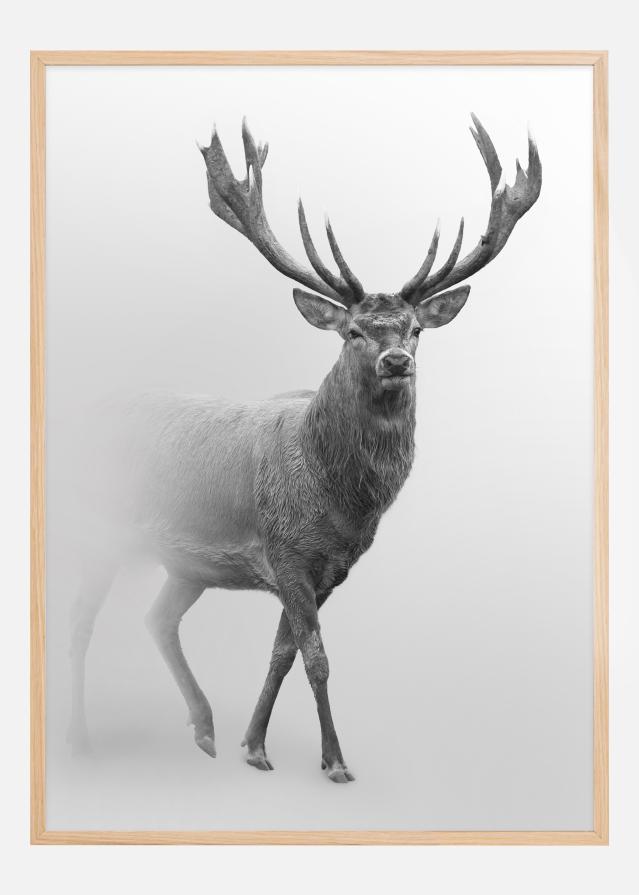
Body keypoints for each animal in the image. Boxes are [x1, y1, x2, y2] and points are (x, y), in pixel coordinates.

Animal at [68, 115, 541, 783]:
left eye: (415, 330)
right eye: (353, 331)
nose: (396, 361)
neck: (341, 502)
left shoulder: (329, 571)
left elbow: (283, 652)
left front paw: (253, 744)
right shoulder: (286, 551)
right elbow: (316, 657)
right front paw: (335, 761)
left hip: (186, 564)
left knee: (156, 618)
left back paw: (205, 729)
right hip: (97, 528)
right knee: (80, 624)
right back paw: (81, 741)